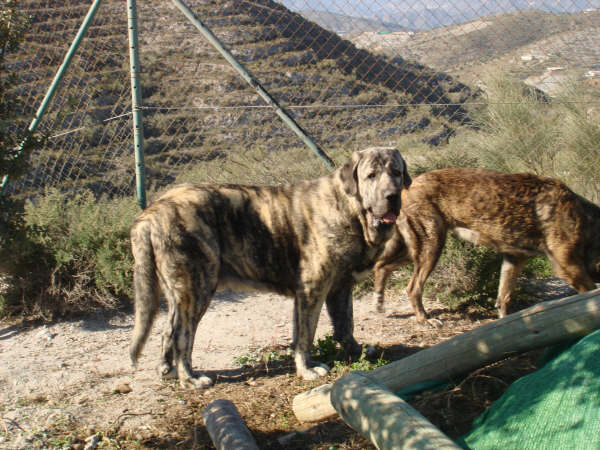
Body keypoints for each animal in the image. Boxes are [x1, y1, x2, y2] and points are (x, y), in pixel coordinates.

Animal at [130, 147, 412, 386]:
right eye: (371, 176)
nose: (392, 196)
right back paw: (190, 379)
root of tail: (153, 210)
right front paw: (307, 369)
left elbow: (346, 325)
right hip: (197, 289)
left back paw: (168, 370)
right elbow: (305, 335)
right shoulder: (311, 290)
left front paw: (357, 351)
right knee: (182, 337)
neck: (350, 209)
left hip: (178, 294)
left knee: (167, 331)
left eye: (396, 173)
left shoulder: (340, 288)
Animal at [372, 167, 600, 326]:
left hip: (414, 250)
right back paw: (424, 319)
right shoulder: (569, 269)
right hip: (431, 247)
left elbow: (504, 297)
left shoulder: (514, 259)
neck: (589, 224)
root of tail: (405, 188)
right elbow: (590, 293)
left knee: (381, 267)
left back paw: (379, 303)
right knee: (412, 288)